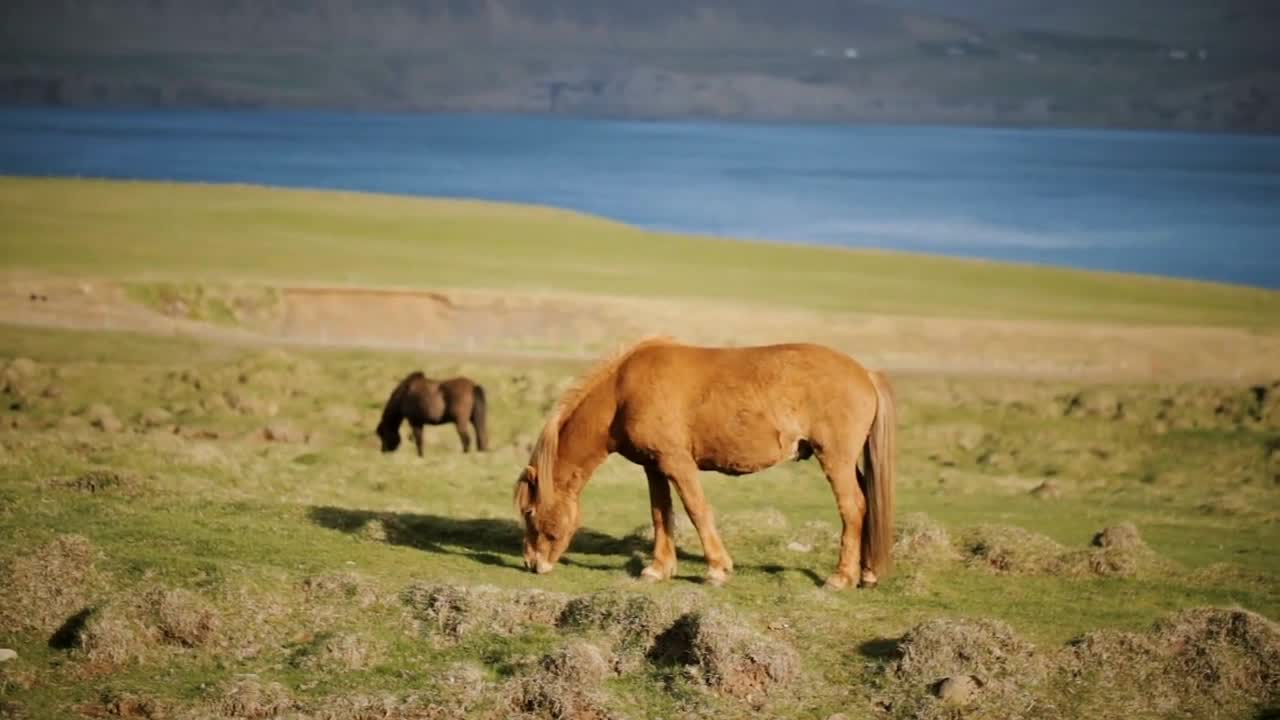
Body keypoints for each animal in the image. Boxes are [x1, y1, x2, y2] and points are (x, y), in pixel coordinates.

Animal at [514, 335, 896, 589]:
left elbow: (696, 510)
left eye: (529, 512)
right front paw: (658, 569)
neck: (622, 393)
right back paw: (866, 573)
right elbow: (661, 515)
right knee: (866, 503)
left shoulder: (677, 463)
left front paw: (717, 569)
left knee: (853, 508)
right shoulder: (654, 466)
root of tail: (866, 374)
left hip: (835, 458)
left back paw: (840, 577)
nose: (532, 564)